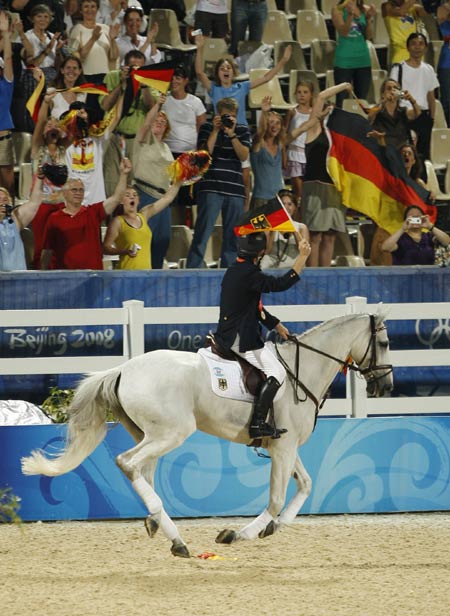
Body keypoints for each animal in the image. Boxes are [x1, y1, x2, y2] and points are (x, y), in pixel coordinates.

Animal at [22, 307, 393, 558]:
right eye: (385, 342)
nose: (386, 386)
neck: (301, 371)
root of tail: (123, 368)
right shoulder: (284, 447)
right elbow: (276, 499)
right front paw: (238, 534)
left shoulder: (282, 446)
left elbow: (306, 485)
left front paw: (273, 528)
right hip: (171, 433)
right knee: (128, 463)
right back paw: (174, 534)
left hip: (149, 433)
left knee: (143, 469)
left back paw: (161, 526)